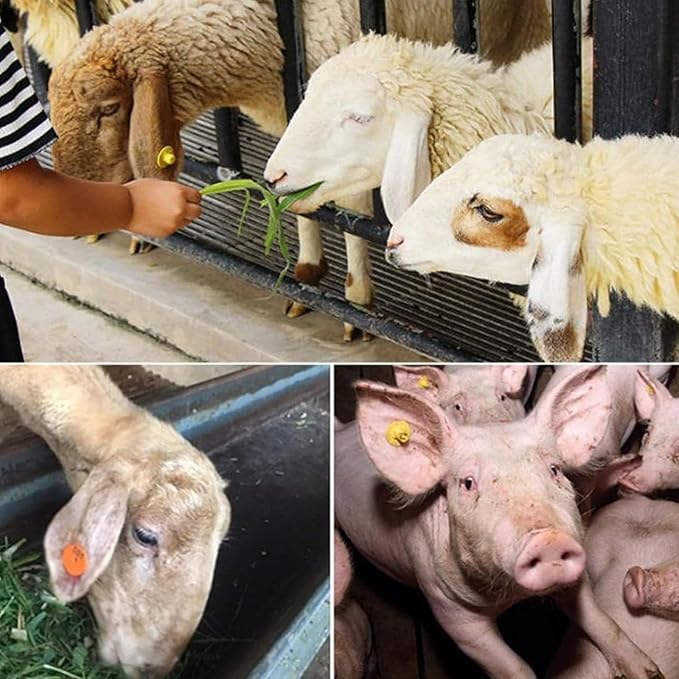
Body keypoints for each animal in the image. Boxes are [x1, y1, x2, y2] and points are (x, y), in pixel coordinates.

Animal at [46, 0, 552, 331]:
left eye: (109, 109)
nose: (72, 193)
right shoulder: (293, 120)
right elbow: (297, 201)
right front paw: (308, 271)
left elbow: (351, 217)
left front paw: (356, 302)